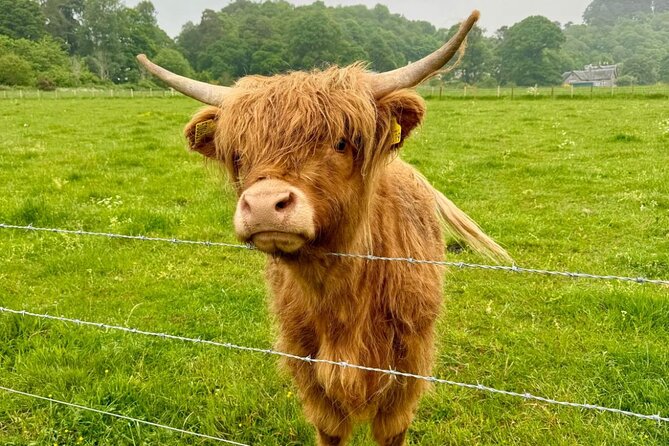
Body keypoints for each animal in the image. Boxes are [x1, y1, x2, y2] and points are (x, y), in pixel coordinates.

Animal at [138, 10, 508, 446]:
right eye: (240, 153)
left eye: (342, 143)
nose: (264, 205)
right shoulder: (307, 366)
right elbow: (330, 429)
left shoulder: (407, 371)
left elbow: (392, 429)